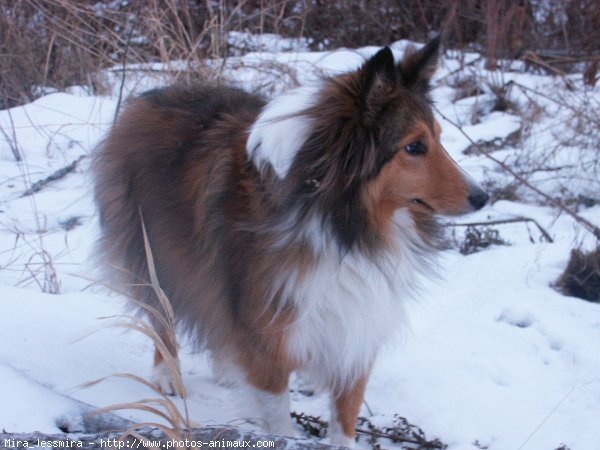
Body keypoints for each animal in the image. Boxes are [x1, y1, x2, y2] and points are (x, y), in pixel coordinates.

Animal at [94, 36, 488, 446]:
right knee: (161, 317)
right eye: (414, 147)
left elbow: (346, 412)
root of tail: (150, 96)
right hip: (153, 253)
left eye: (438, 137)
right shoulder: (270, 329)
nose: (483, 197)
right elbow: (278, 414)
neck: (338, 219)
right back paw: (165, 374)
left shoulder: (357, 318)